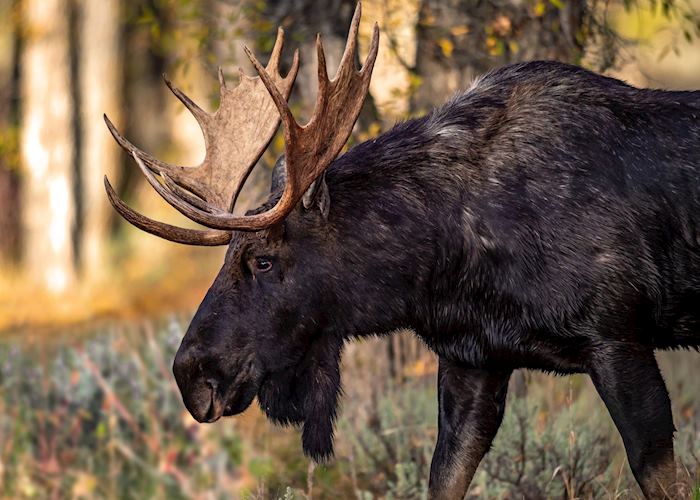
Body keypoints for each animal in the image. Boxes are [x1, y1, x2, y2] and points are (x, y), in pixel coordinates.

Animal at [104, 2, 700, 496]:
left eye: (265, 259)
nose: (191, 375)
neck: (446, 268)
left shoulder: (618, 338)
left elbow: (659, 476)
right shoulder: (471, 357)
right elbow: (444, 477)